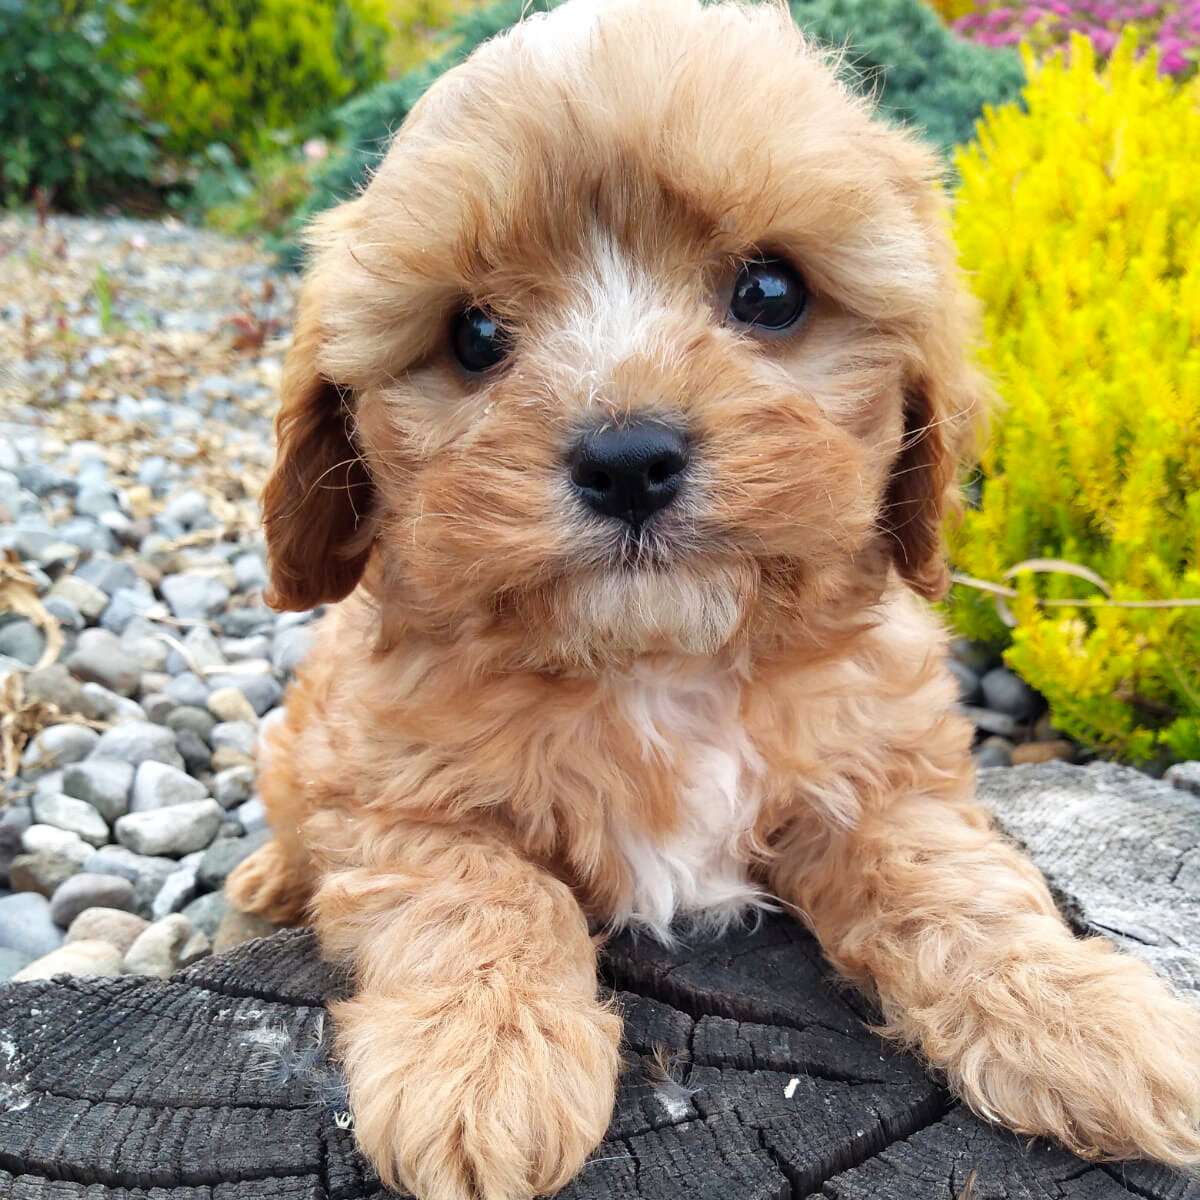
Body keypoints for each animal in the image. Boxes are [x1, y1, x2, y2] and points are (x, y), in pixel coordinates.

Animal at [223, 4, 1200, 1195]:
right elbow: (480, 889)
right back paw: (268, 880)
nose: (627, 460)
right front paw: (481, 1064)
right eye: (473, 336)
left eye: (771, 293)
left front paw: (1085, 1018)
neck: (664, 664)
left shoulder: (886, 775)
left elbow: (954, 883)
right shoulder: (391, 796)